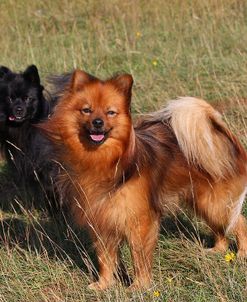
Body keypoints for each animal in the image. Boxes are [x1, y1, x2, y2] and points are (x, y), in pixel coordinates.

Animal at [38, 70, 247, 290]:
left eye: (110, 113)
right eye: (86, 110)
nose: (97, 122)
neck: (105, 161)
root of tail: (222, 134)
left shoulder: (139, 222)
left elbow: (138, 257)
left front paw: (139, 286)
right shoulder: (102, 219)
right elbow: (105, 258)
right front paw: (104, 284)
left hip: (215, 203)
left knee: (240, 223)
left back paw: (241, 254)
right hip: (202, 202)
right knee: (221, 227)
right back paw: (218, 249)